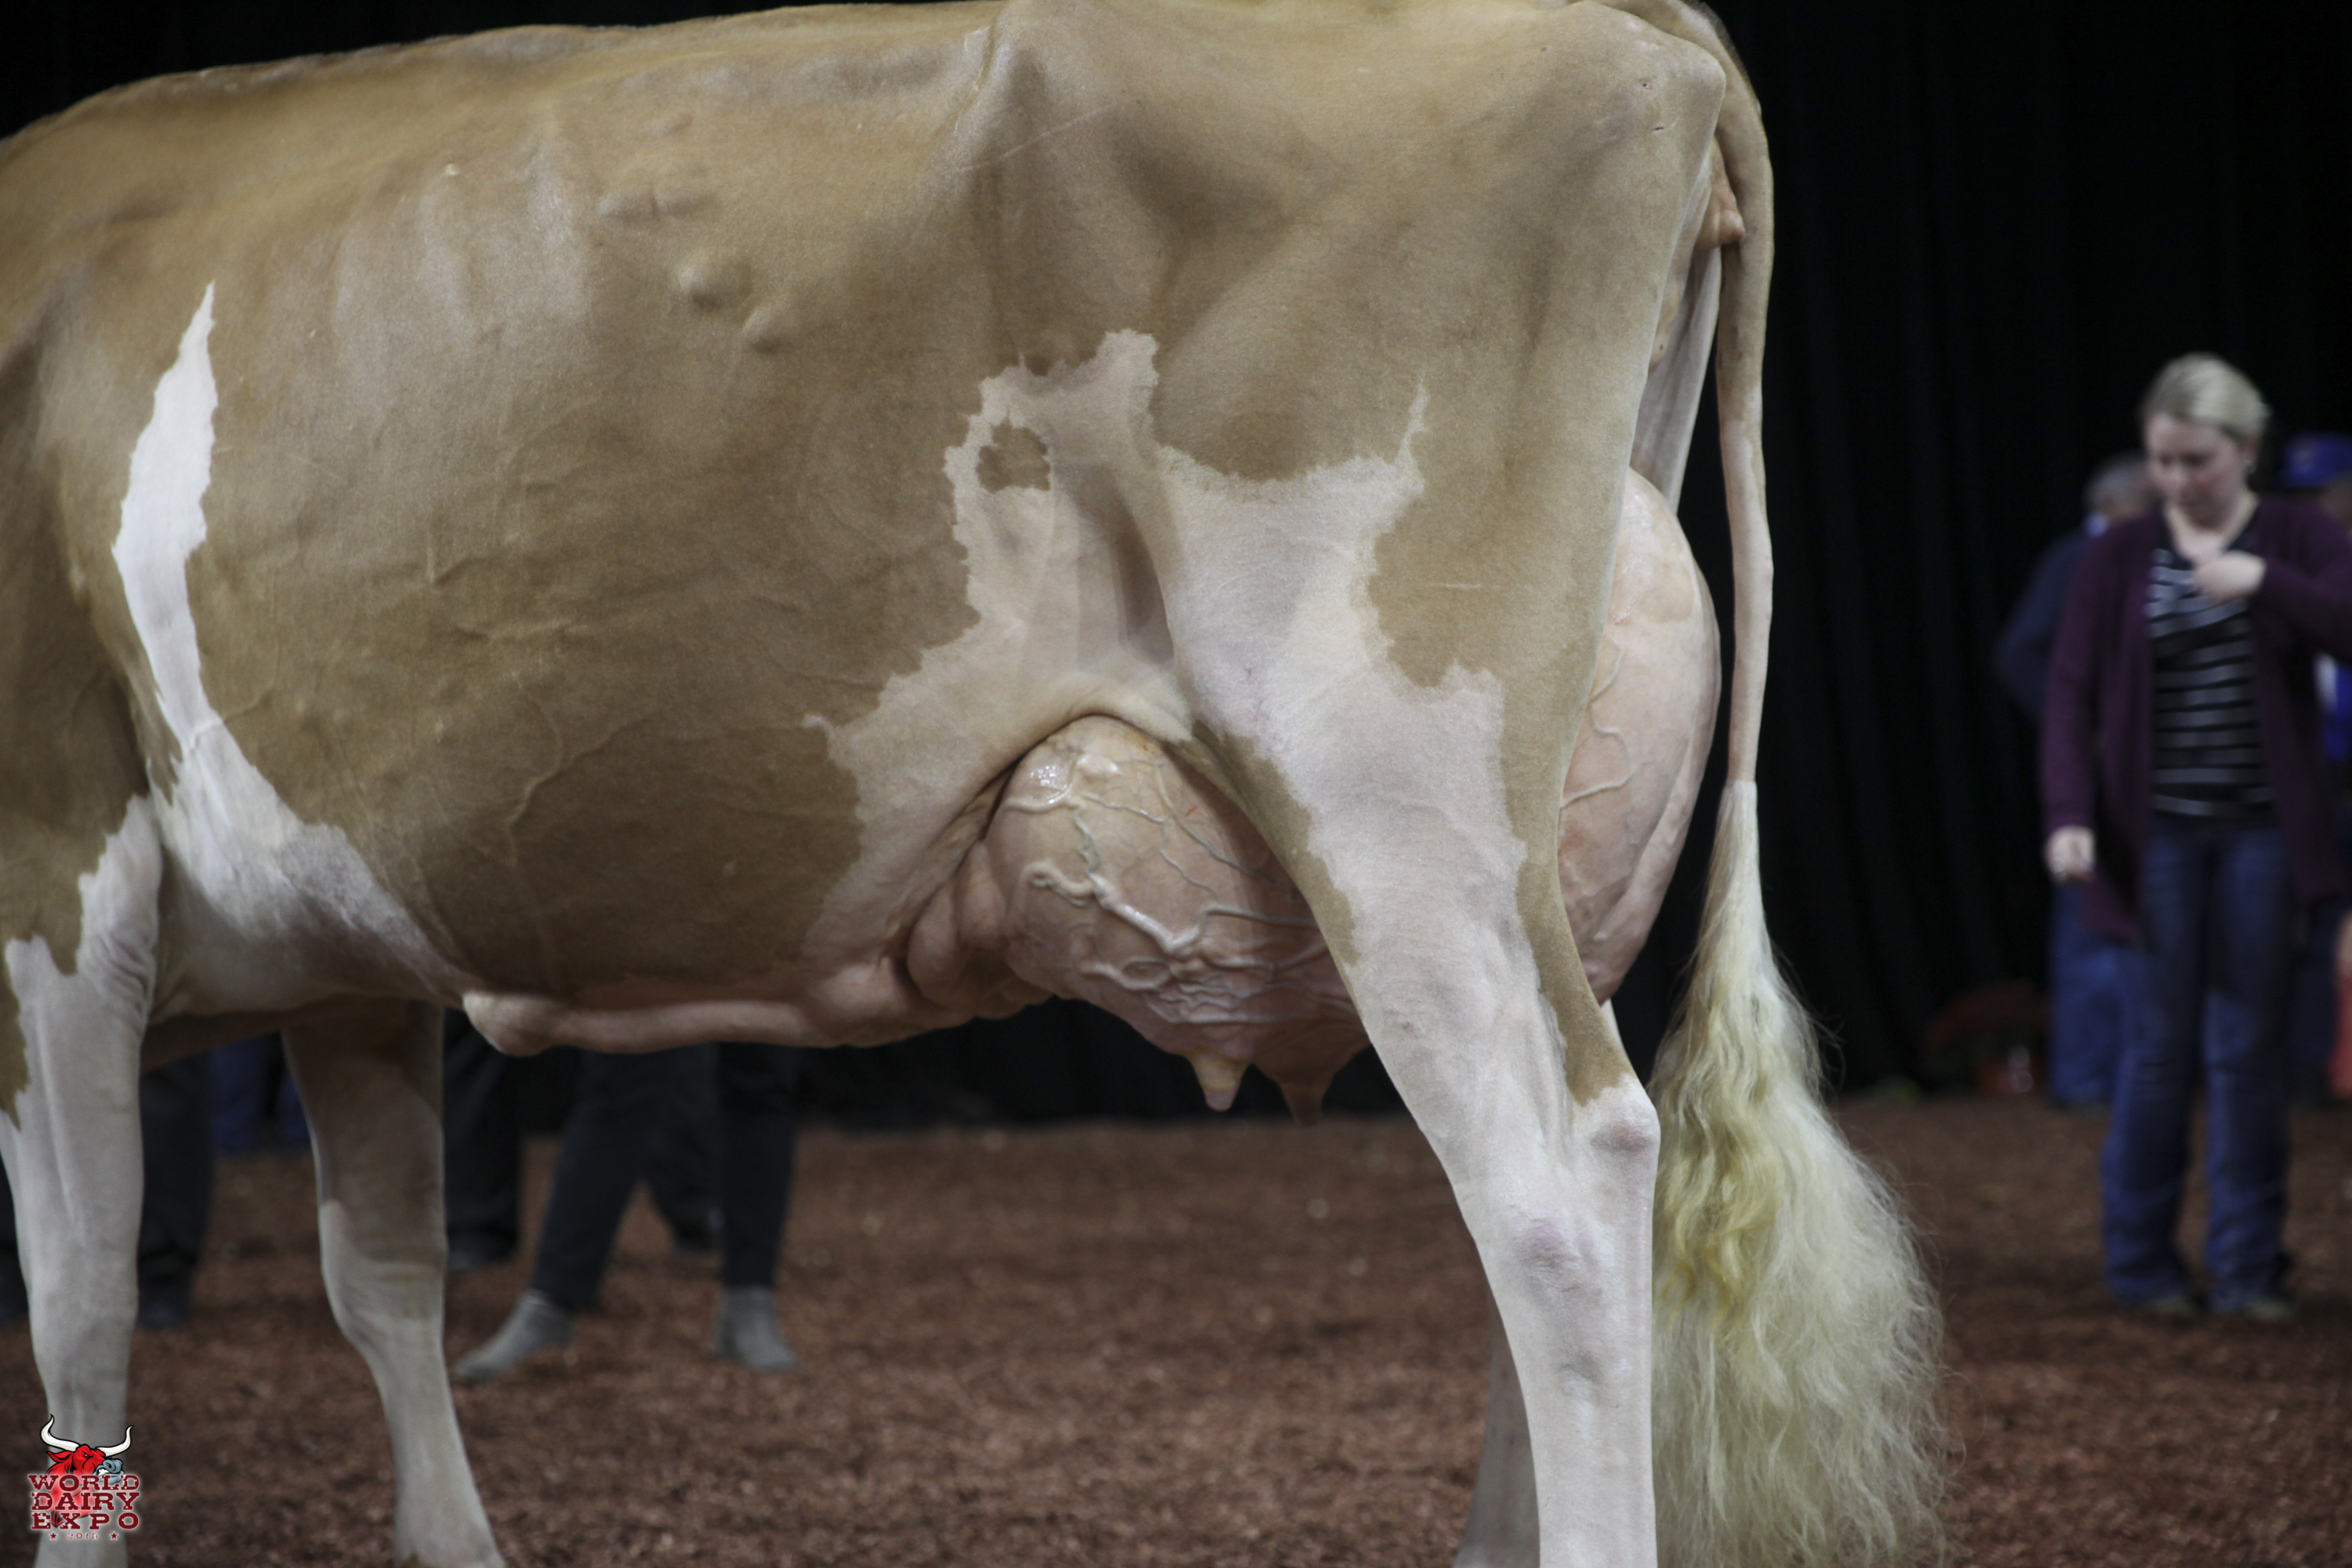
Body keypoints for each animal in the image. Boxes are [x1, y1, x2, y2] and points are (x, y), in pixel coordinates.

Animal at [0, 1, 1942, 1564]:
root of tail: (1643, 33)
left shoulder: (52, 875)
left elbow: (82, 1305)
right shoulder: (345, 963)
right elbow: (384, 1278)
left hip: (1398, 796)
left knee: (1558, 1193)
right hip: (1550, 844)